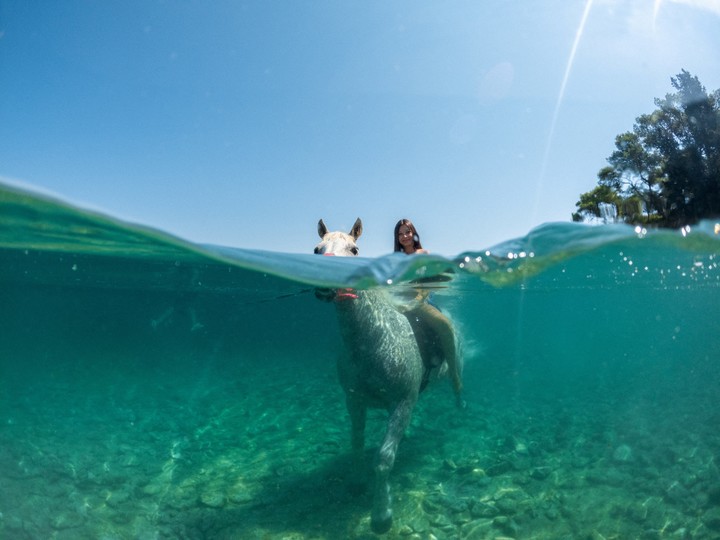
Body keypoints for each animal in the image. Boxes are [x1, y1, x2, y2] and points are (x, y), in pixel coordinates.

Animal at [314, 217, 437, 534]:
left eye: (355, 250)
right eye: (317, 250)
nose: (326, 284)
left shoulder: (403, 402)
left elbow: (383, 458)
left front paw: (381, 515)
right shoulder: (354, 401)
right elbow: (357, 444)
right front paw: (357, 483)